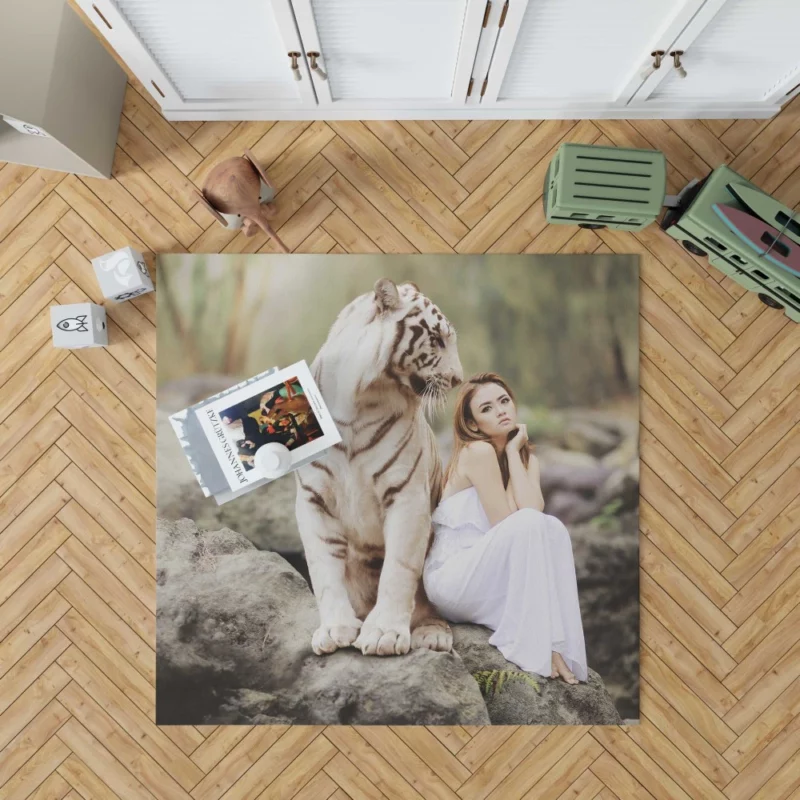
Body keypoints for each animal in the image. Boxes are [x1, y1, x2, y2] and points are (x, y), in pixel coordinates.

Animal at [294, 280, 462, 656]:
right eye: (437, 339)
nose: (459, 379)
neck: (359, 400)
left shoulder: (407, 495)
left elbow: (398, 568)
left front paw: (384, 633)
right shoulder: (313, 498)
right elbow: (324, 569)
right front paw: (335, 630)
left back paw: (433, 635)